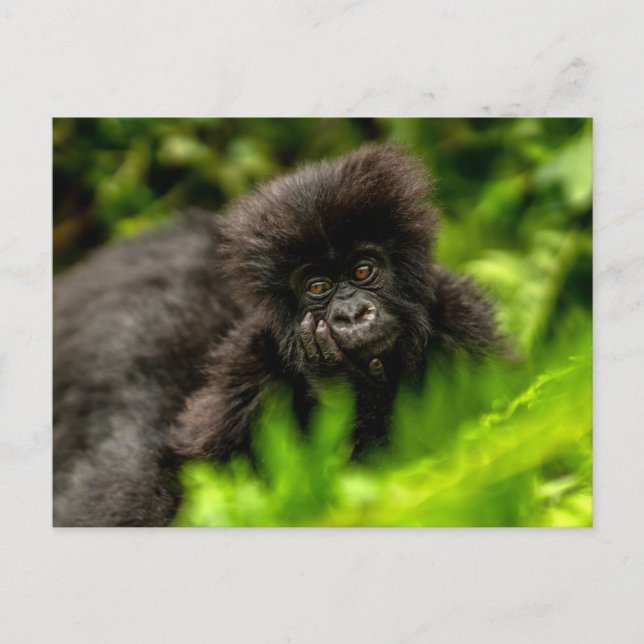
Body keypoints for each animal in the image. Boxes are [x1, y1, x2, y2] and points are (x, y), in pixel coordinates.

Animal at [53, 144, 501, 526]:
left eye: (362, 271)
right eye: (318, 287)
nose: (352, 314)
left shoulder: (465, 324)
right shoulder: (248, 369)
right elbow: (185, 477)